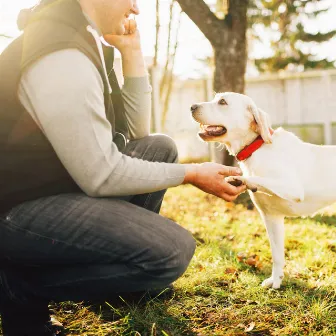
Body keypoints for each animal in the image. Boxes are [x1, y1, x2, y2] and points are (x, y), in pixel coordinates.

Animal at [190, 92, 334, 288]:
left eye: (222, 102)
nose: (192, 106)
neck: (257, 148)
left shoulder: (293, 188)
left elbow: (257, 178)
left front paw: (242, 179)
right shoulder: (271, 218)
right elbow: (277, 255)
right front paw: (276, 281)